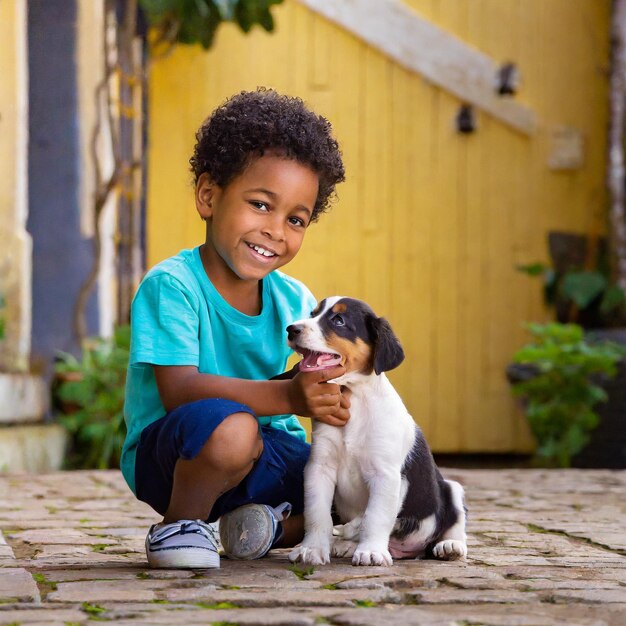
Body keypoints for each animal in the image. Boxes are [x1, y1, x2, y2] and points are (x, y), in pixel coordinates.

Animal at [286, 298, 466, 564]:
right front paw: (312, 549)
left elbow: (375, 516)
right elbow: (317, 514)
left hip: (452, 489)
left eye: (338, 321)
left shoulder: (385, 475)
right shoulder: (319, 468)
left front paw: (371, 551)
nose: (291, 329)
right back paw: (347, 544)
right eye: (313, 314)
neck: (354, 399)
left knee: (453, 524)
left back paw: (450, 546)